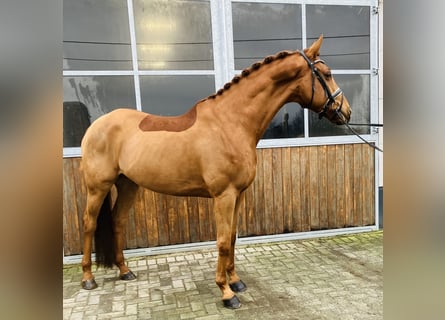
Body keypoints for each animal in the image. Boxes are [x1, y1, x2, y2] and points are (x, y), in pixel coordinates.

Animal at [79, 35, 350, 308]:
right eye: (327, 74)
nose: (346, 111)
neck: (229, 124)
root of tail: (96, 126)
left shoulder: (238, 195)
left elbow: (231, 237)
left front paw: (236, 281)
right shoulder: (224, 196)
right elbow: (221, 241)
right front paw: (226, 292)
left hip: (127, 184)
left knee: (118, 221)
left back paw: (125, 271)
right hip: (98, 187)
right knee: (90, 224)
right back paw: (88, 278)